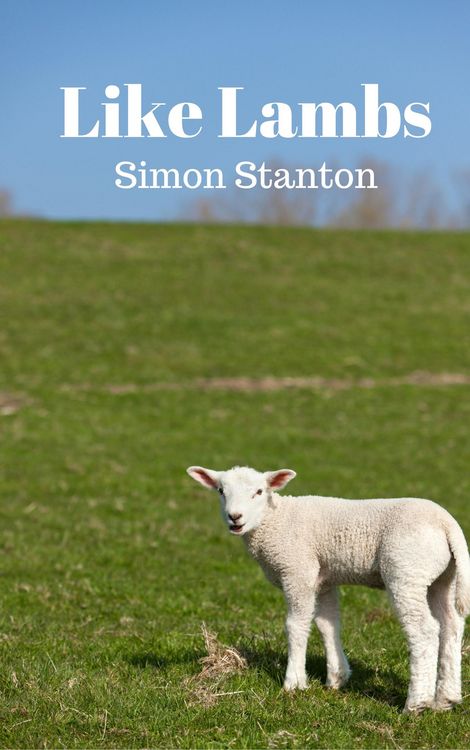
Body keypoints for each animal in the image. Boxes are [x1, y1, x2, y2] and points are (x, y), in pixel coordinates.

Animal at [187, 465, 470, 713]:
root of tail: (447, 523)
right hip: (443, 577)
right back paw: (446, 700)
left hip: (406, 570)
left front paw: (294, 682)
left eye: (258, 492)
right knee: (451, 626)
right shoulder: (323, 579)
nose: (235, 517)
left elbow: (296, 625)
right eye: (221, 491)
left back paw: (415, 704)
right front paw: (336, 678)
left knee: (424, 630)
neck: (275, 519)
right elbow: (328, 624)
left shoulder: (298, 571)